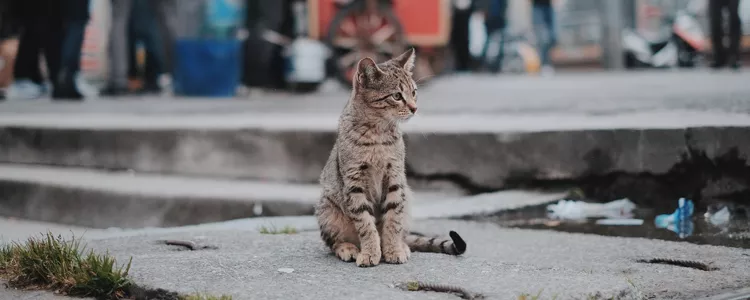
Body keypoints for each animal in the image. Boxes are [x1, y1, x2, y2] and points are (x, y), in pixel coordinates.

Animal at [314, 48, 468, 268]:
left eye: (414, 92)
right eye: (397, 96)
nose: (414, 108)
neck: (378, 134)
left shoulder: (395, 178)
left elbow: (393, 221)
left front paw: (393, 250)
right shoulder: (354, 183)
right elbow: (365, 224)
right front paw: (370, 252)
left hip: (408, 197)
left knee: (403, 231)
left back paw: (402, 245)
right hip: (327, 210)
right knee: (333, 241)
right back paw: (348, 248)